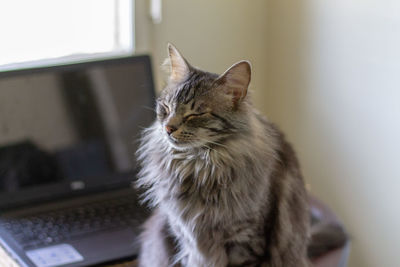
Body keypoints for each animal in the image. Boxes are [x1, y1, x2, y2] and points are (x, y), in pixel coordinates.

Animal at [136, 44, 346, 267]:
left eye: (196, 114)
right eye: (166, 108)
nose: (168, 128)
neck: (198, 167)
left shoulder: (246, 243)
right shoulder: (187, 240)